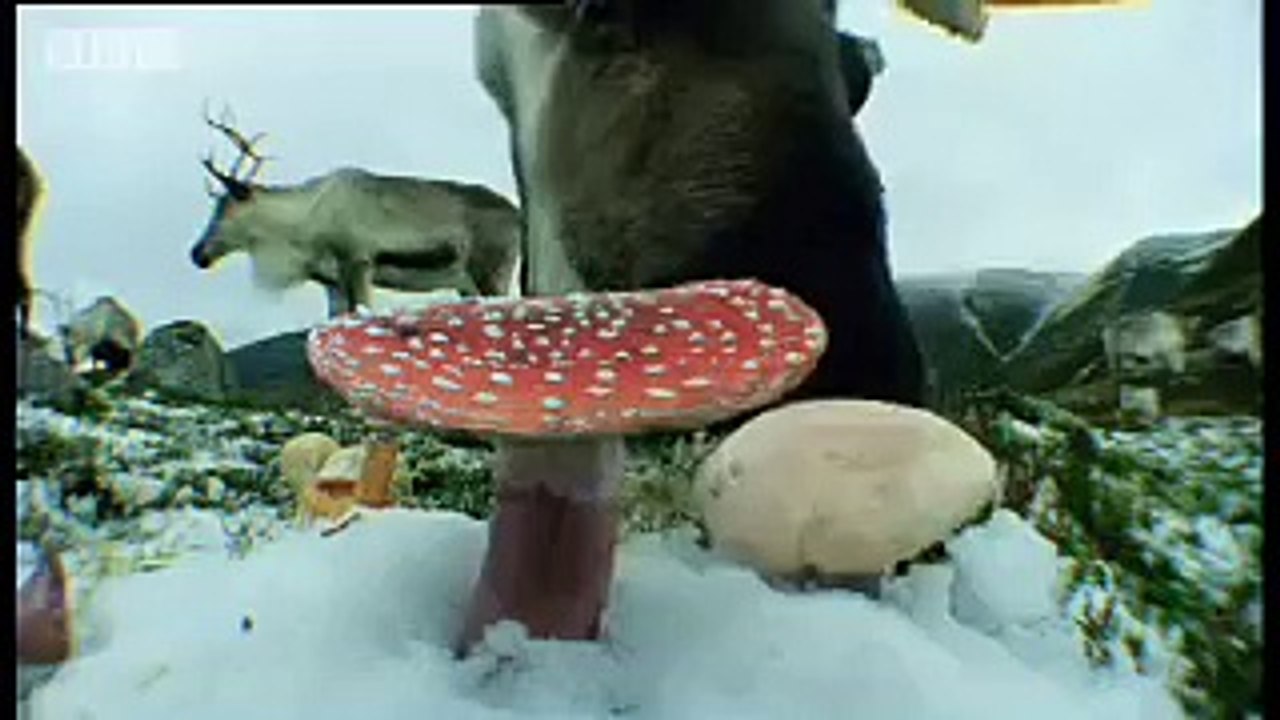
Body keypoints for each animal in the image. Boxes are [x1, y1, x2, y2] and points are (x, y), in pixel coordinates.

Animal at [190, 104, 521, 317]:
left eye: (227, 208)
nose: (198, 253)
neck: (303, 223)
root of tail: (518, 213)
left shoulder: (359, 261)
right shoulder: (332, 282)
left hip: (491, 274)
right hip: (467, 286)